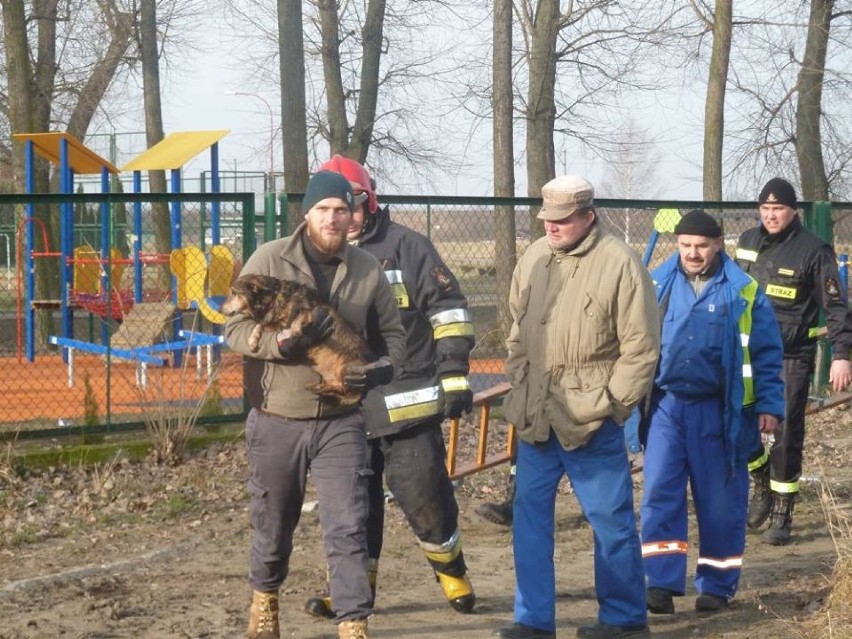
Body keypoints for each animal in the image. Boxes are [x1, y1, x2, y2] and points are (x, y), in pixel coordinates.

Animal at [221, 274, 368, 404]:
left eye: (234, 293)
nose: (221, 310)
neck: (274, 298)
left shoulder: (306, 312)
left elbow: (296, 322)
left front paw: (294, 333)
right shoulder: (275, 324)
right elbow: (260, 325)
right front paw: (253, 340)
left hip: (345, 369)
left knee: (342, 390)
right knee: (337, 390)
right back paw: (317, 387)